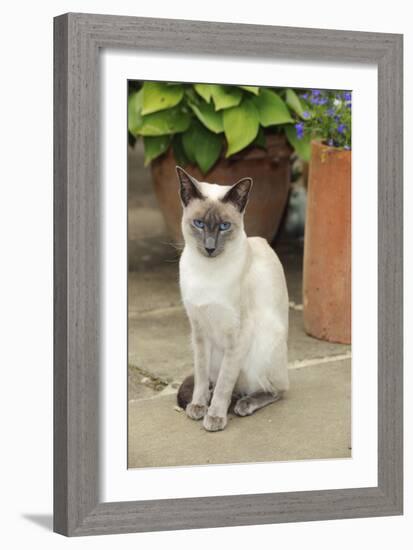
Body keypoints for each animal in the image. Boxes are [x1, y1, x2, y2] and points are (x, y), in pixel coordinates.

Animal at [177, 166, 290, 434]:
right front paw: (199, 406)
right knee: (216, 381)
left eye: (224, 226)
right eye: (199, 224)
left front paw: (215, 417)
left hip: (262, 346)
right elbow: (201, 377)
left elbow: (225, 384)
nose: (209, 248)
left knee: (276, 389)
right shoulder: (199, 331)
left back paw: (244, 404)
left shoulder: (237, 334)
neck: (207, 272)